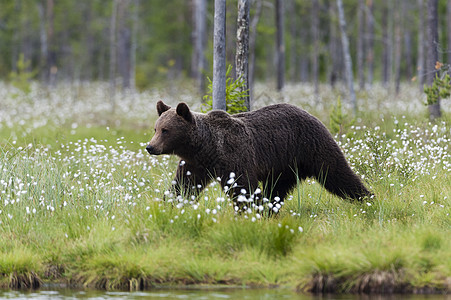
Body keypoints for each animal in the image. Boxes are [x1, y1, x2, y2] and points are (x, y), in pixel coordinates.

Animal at [147, 101, 372, 211]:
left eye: (166, 130)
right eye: (156, 128)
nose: (150, 147)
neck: (205, 147)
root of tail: (311, 115)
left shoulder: (234, 156)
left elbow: (242, 187)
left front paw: (249, 210)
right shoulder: (194, 164)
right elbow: (184, 185)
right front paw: (169, 205)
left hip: (311, 147)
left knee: (336, 173)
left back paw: (366, 197)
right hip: (284, 164)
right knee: (277, 188)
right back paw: (270, 207)